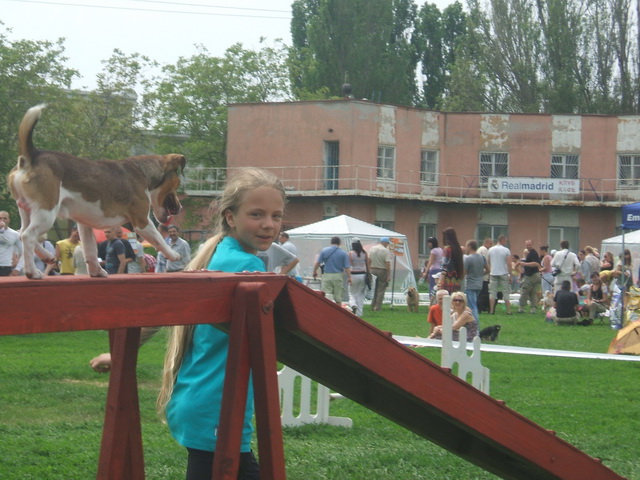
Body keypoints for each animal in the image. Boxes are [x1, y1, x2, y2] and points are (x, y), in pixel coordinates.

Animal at [8, 104, 186, 279]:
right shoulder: (142, 221)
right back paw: (32, 272)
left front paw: (96, 272)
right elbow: (159, 239)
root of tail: (31, 156)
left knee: (21, 233)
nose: (180, 208)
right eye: (177, 184)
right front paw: (173, 255)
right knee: (28, 236)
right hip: (46, 213)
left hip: (27, 210)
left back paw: (47, 256)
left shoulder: (84, 225)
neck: (143, 172)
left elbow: (90, 251)